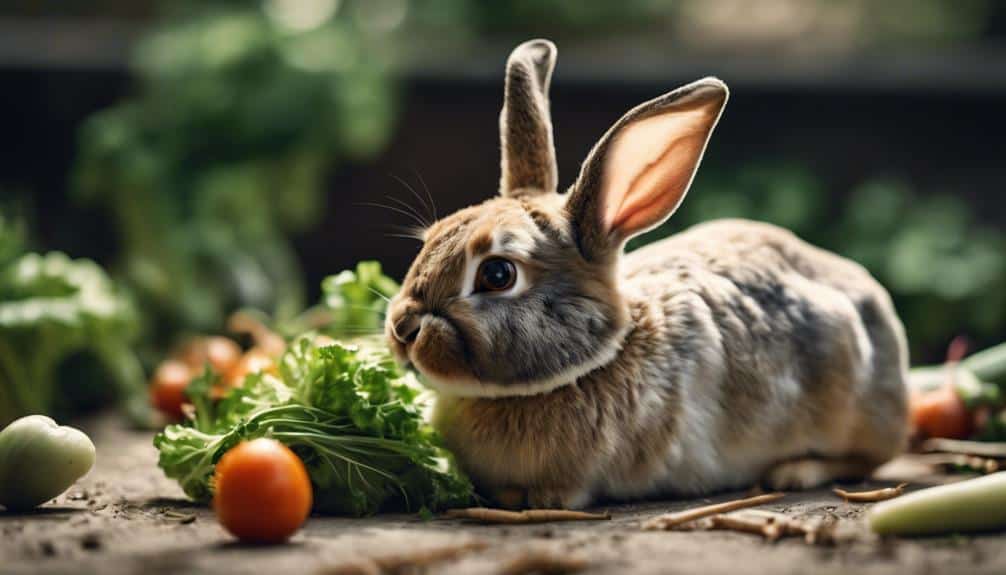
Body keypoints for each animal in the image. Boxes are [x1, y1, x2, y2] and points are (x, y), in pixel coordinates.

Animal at [385, 39, 909, 509]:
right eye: (431, 238)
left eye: (497, 274)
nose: (403, 328)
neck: (596, 360)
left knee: (869, 457)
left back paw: (796, 471)